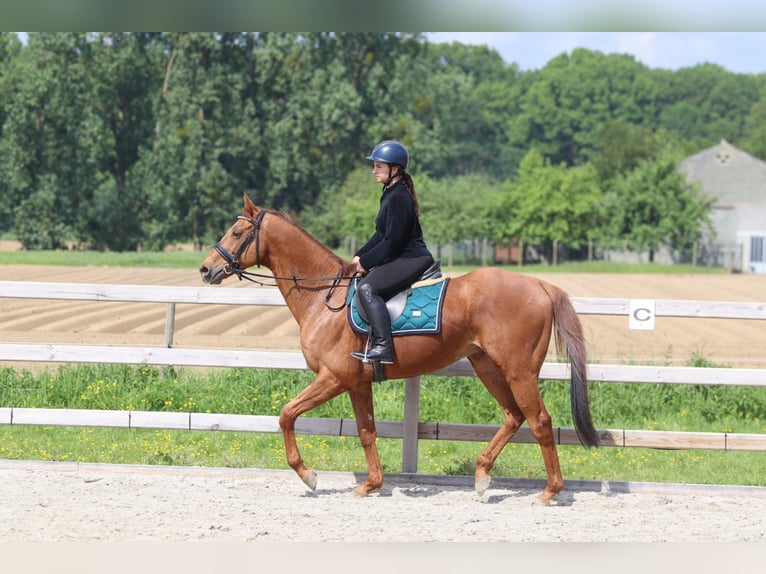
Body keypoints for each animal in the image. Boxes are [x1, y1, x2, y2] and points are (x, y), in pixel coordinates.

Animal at [199, 193, 600, 504]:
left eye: (237, 232)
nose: (205, 269)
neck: (324, 297)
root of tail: (539, 285)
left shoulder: (333, 378)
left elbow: (286, 414)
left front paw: (308, 475)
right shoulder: (357, 383)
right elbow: (366, 431)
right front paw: (371, 485)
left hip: (519, 371)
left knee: (539, 421)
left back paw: (550, 491)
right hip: (486, 365)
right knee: (514, 416)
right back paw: (483, 477)